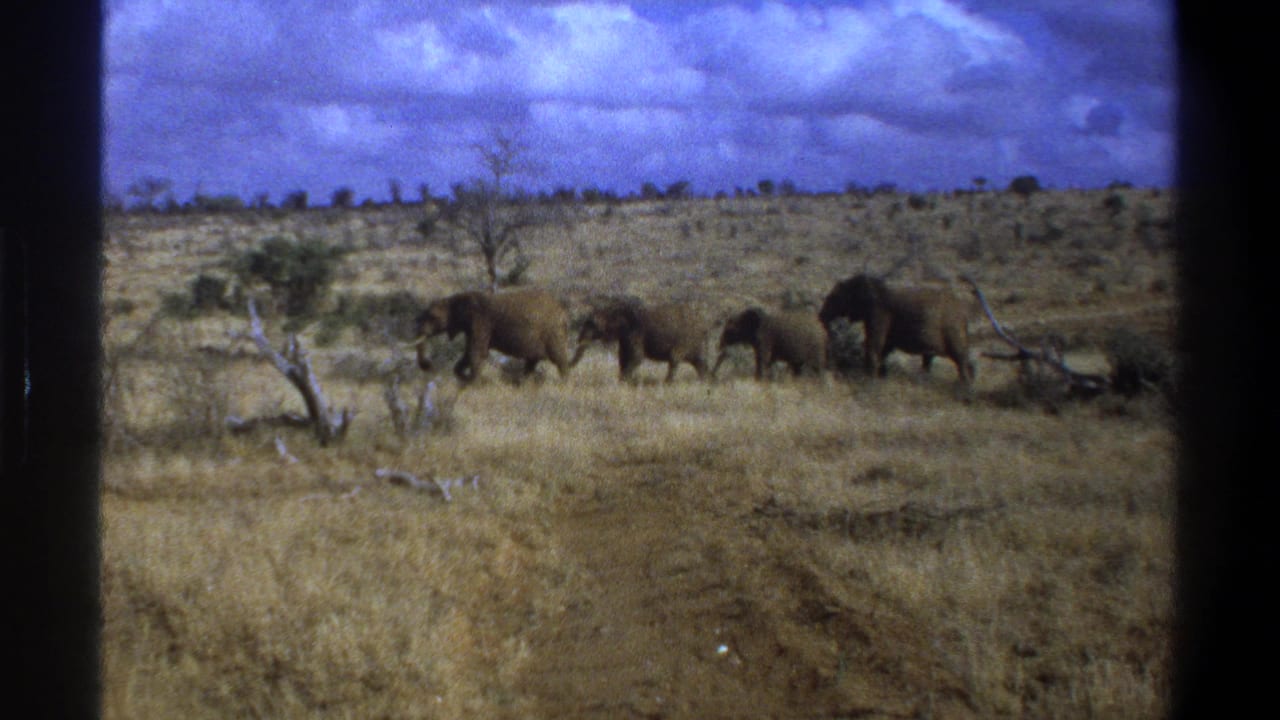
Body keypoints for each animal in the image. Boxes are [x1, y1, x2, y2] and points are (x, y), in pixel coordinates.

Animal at [414, 288, 572, 383]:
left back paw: (563, 384)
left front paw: (472, 383)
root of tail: (564, 312)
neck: (456, 299)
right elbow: (468, 353)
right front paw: (464, 377)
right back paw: (523, 383)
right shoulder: (472, 327)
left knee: (559, 360)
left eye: (432, 317)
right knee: (532, 362)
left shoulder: (481, 322)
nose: (427, 365)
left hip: (553, 333)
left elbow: (476, 353)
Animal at [570, 298, 713, 382]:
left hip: (686, 341)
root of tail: (705, 326)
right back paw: (705, 381)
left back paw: (668, 383)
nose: (579, 340)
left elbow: (636, 358)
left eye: (593, 324)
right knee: (700, 364)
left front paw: (624, 381)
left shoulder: (636, 333)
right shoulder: (625, 338)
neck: (613, 309)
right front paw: (624, 382)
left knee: (675, 359)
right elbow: (623, 358)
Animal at [818, 274, 975, 387]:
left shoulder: (879, 311)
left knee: (961, 360)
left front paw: (869, 381)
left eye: (835, 297)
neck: (871, 282)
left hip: (954, 331)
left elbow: (875, 345)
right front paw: (880, 377)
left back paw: (964, 390)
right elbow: (885, 347)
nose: (821, 317)